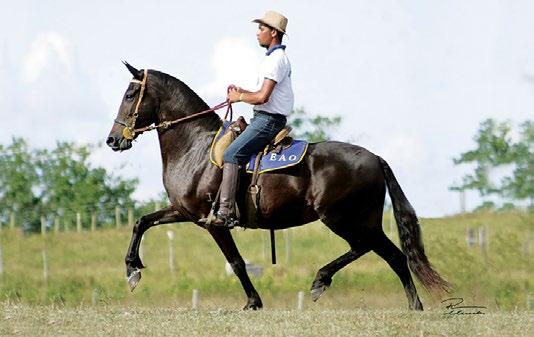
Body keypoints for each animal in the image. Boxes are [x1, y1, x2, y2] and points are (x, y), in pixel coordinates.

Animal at [107, 63, 450, 310]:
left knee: (376, 250)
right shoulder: (184, 211)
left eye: (129, 95)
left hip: (343, 218)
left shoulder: (214, 223)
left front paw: (253, 302)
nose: (113, 139)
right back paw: (412, 305)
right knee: (391, 255)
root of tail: (375, 158)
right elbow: (141, 222)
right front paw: (132, 270)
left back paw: (323, 281)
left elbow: (236, 262)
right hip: (359, 220)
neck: (195, 148)